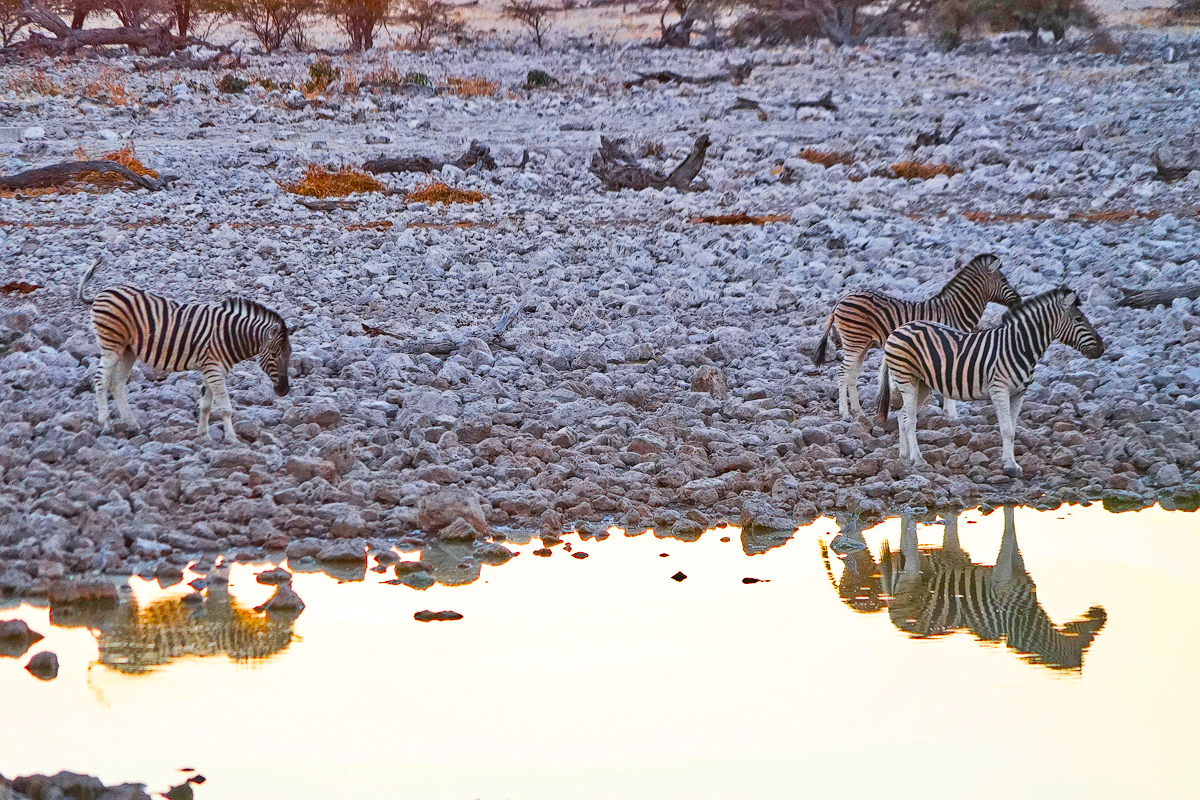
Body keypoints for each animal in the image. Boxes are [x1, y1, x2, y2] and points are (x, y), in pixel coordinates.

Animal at [77, 260, 290, 441]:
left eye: (289, 356)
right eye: (274, 355)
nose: (284, 390)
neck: (230, 335)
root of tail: (104, 291)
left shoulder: (211, 369)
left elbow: (206, 405)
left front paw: (204, 436)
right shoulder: (213, 368)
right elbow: (224, 407)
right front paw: (232, 439)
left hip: (128, 350)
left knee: (118, 384)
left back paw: (132, 425)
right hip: (111, 346)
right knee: (101, 380)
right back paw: (106, 425)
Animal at [811, 255, 1017, 419]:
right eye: (1004, 279)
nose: (1018, 300)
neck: (955, 312)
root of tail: (842, 299)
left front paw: (949, 413)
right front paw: (952, 415)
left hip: (863, 344)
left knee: (851, 375)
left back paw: (858, 412)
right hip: (854, 341)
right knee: (842, 373)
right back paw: (845, 413)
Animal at [820, 510, 1108, 671]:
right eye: (1086, 639)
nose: (1101, 613)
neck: (1025, 620)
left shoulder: (1016, 568)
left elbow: (1011, 530)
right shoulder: (1003, 580)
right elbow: (1008, 536)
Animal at [878, 286, 1099, 479]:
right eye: (1079, 319)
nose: (1102, 348)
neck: (1018, 346)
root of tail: (900, 328)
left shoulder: (1018, 394)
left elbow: (1012, 429)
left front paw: (1011, 463)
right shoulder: (999, 389)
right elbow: (1007, 429)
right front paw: (1010, 466)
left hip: (922, 383)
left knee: (902, 416)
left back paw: (905, 457)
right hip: (907, 379)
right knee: (910, 420)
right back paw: (918, 459)